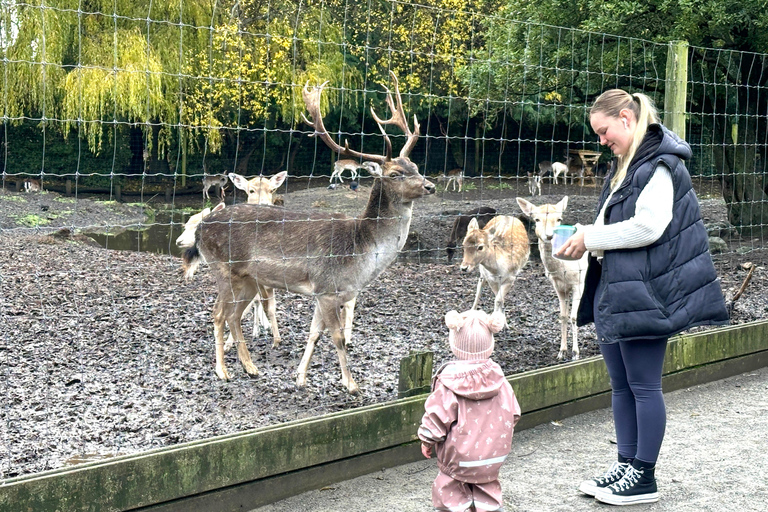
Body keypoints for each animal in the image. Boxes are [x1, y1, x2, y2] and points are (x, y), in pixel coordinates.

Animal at [181, 72, 436, 392]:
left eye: (415, 165)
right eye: (394, 174)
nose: (430, 186)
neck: (361, 254)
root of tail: (201, 229)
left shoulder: (325, 293)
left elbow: (314, 334)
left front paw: (300, 378)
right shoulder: (327, 287)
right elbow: (337, 338)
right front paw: (351, 385)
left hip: (249, 278)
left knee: (234, 315)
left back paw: (251, 368)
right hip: (223, 269)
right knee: (218, 314)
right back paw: (222, 371)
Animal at [516, 196, 588, 360]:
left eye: (559, 219)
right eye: (536, 219)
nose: (549, 236)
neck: (562, 271)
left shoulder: (578, 283)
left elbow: (574, 317)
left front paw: (576, 353)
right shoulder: (559, 287)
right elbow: (563, 316)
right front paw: (562, 352)